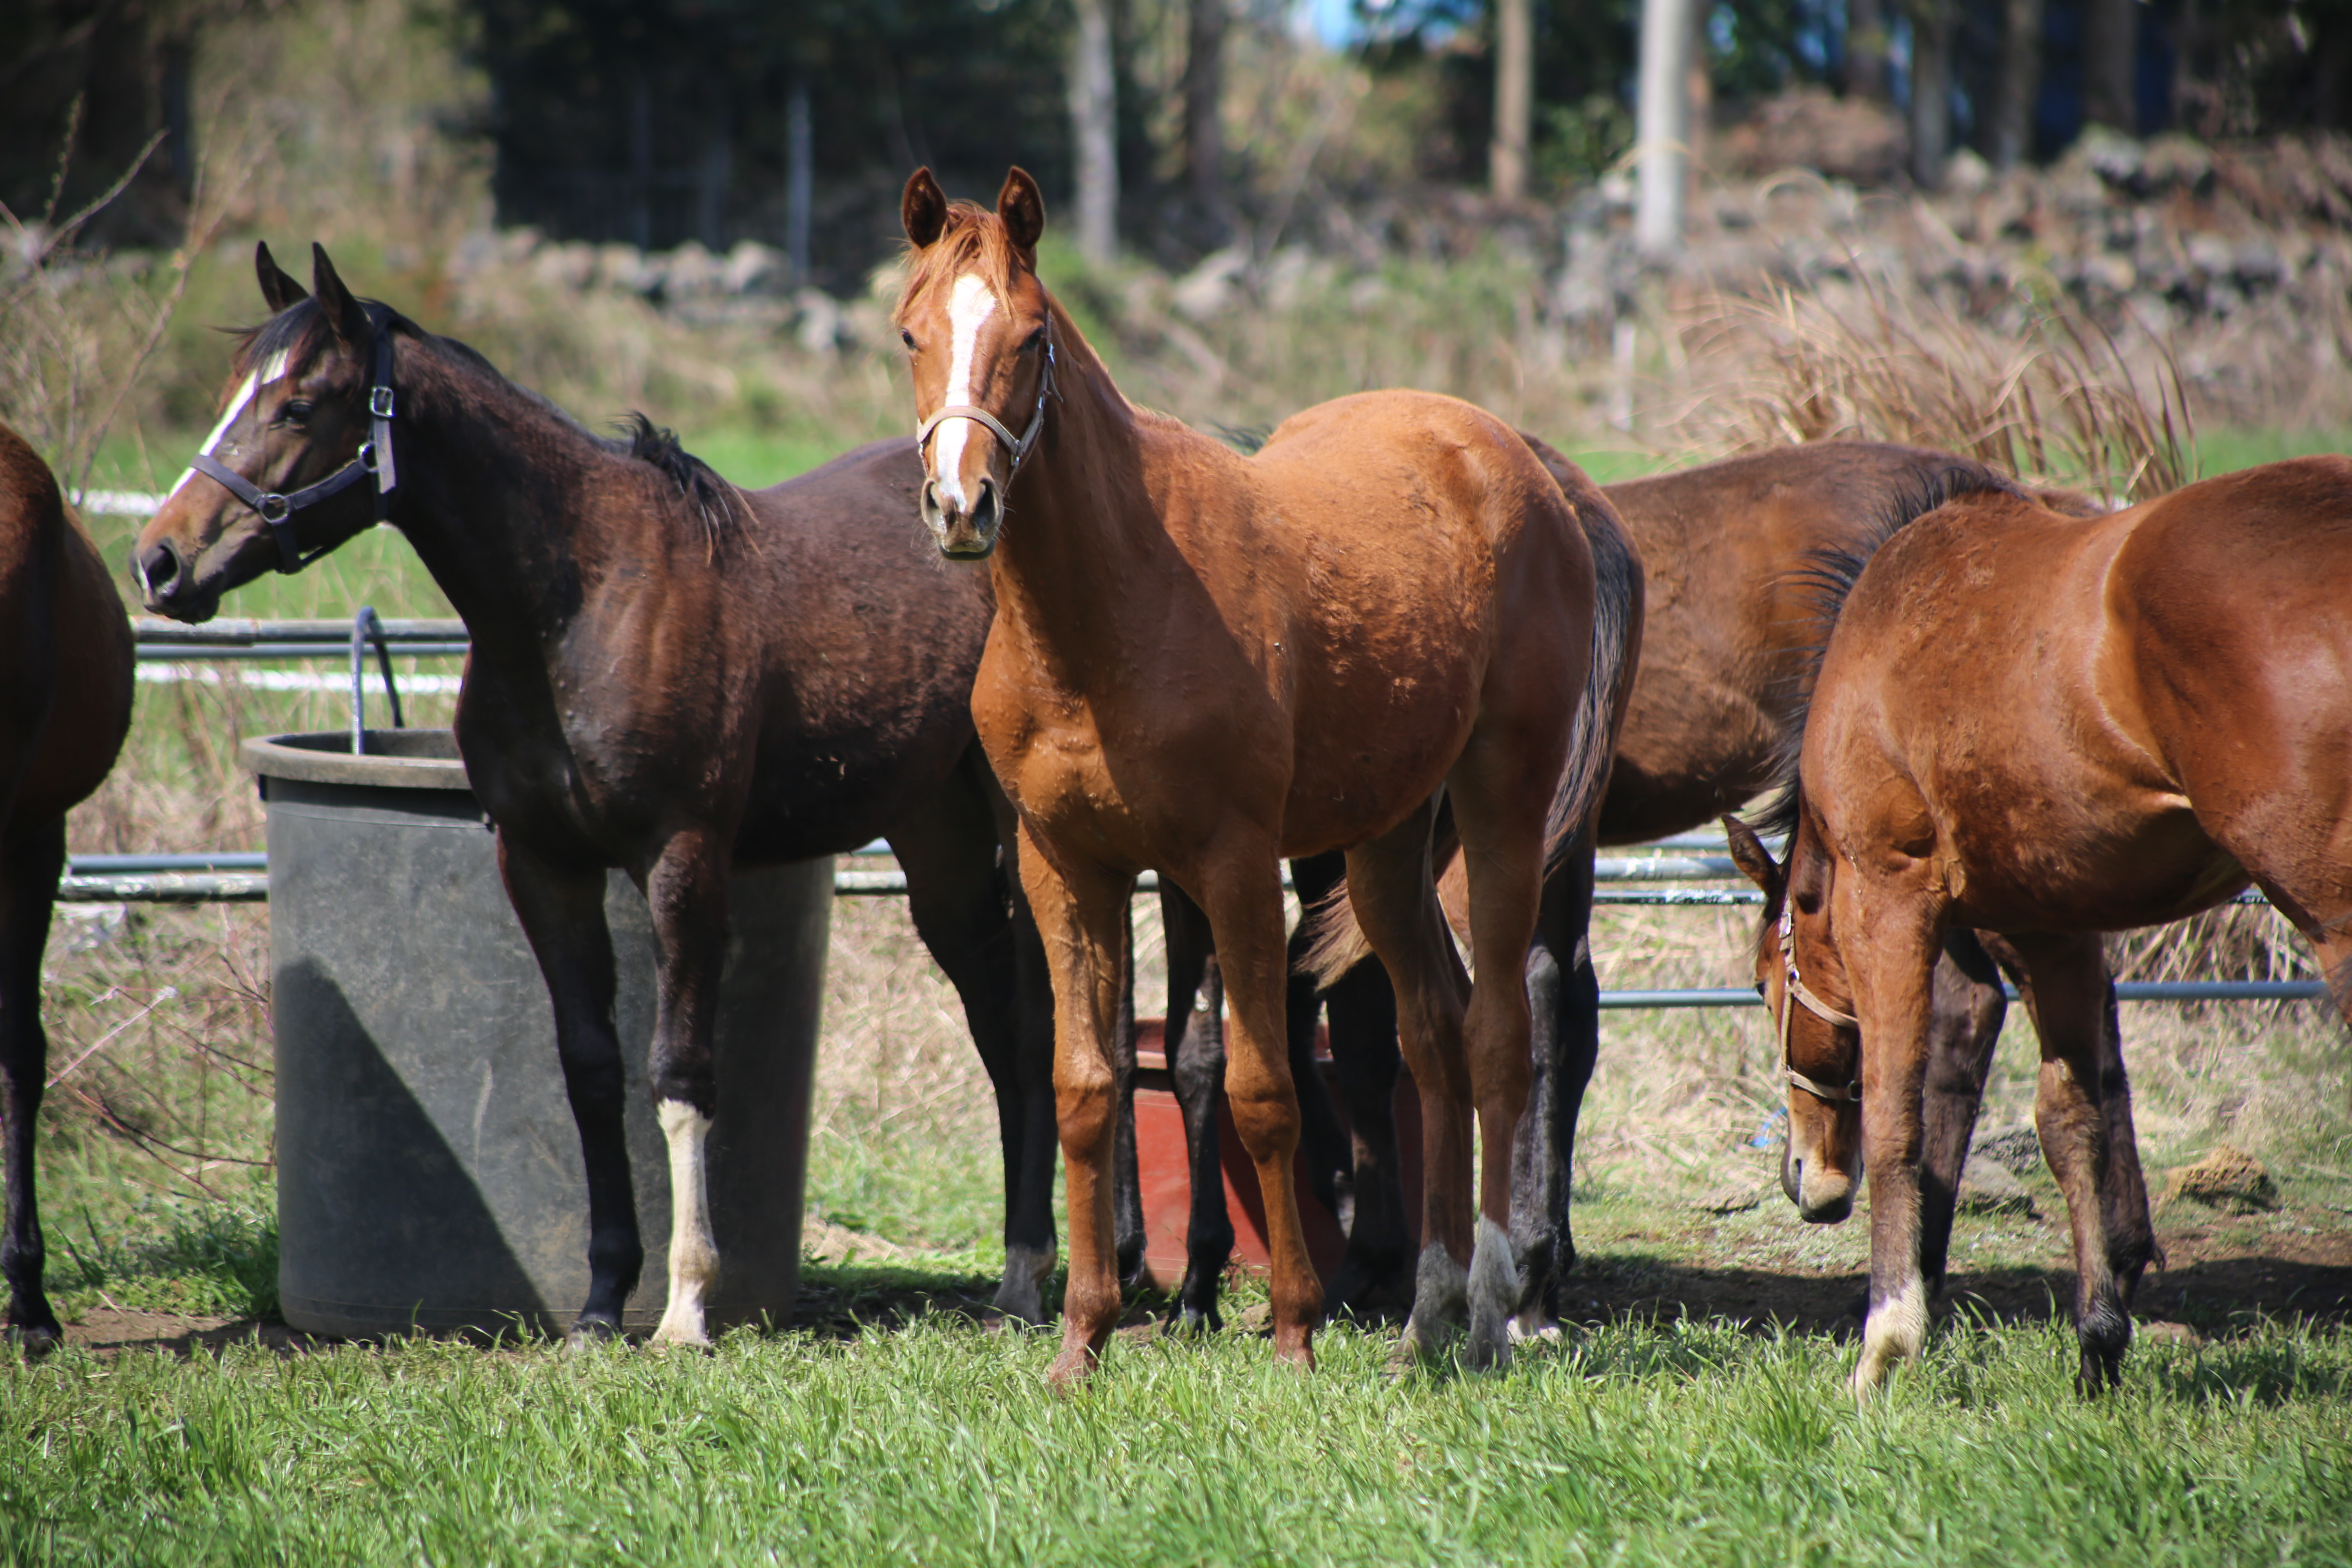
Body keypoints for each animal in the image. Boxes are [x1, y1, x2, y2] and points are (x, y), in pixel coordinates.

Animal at [140, 248, 1068, 1354]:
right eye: (234, 393)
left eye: (299, 403)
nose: (160, 560)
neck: (580, 599)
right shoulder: (544, 862)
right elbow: (590, 1072)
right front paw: (597, 1303)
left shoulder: (683, 860)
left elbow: (679, 1073)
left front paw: (686, 1307)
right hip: (941, 852)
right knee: (1005, 1033)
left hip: (1019, 836)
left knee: (1041, 1027)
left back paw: (1031, 1281)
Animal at [893, 165, 1618, 1382]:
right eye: (910, 333)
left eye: (1032, 338)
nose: (960, 508)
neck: (1107, 611)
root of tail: (1517, 461)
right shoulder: (1066, 868)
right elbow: (1085, 1087)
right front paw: (1081, 1340)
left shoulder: (1229, 865)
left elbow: (1261, 1087)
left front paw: (1290, 1330)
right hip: (1385, 843)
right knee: (1431, 1035)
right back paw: (1422, 1320)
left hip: (1502, 807)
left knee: (1496, 1038)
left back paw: (1485, 1316)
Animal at [1722, 456, 2352, 1401]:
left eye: (1767, 986)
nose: (1808, 1179)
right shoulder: (2049, 926)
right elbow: (2072, 1117)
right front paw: (2098, 1344)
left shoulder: (1888, 895)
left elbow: (1899, 1115)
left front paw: (1886, 1344)